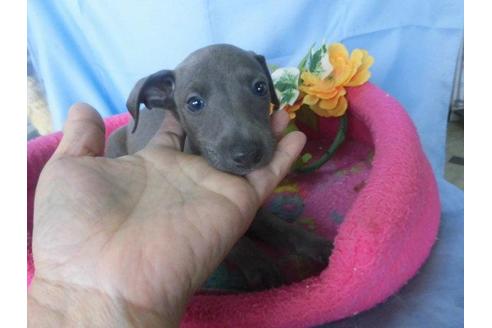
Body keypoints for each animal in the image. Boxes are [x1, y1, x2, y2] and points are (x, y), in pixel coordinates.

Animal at [106, 43, 330, 290]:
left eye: (260, 87)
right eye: (194, 103)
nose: (247, 155)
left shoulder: (256, 210)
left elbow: (278, 226)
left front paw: (314, 243)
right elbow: (238, 244)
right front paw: (262, 268)